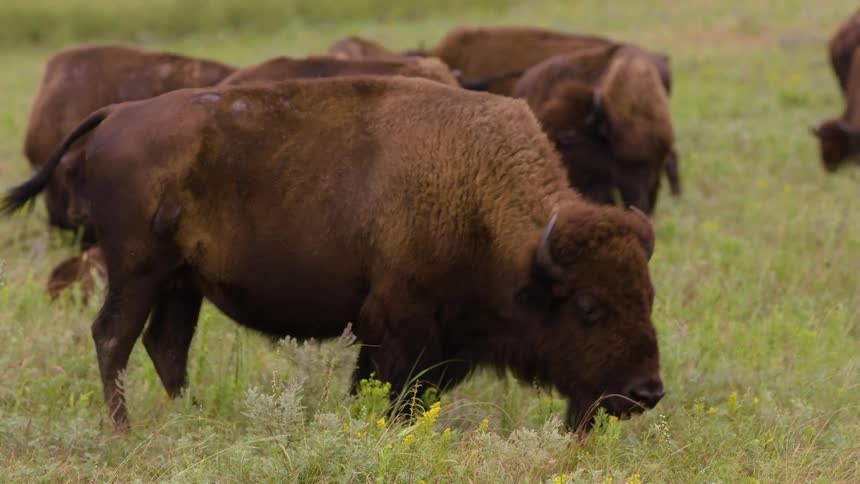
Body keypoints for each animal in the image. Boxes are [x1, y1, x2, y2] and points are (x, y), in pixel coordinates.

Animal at [3, 76, 664, 431]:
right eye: (588, 307)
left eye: (648, 297)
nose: (646, 392)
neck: (475, 186)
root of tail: (118, 113)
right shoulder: (398, 326)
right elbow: (390, 390)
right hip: (137, 269)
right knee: (112, 337)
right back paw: (124, 430)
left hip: (180, 281)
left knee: (165, 346)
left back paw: (195, 418)